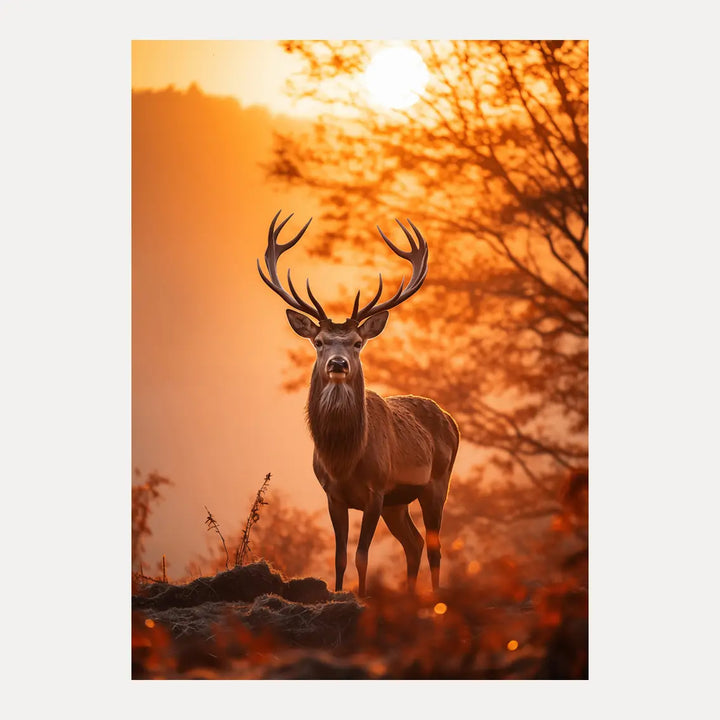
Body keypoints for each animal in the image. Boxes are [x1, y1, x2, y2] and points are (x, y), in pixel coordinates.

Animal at [257, 211, 460, 596]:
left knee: (435, 546)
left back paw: (436, 598)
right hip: (398, 503)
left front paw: (363, 597)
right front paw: (340, 594)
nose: (338, 364)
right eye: (319, 341)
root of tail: (451, 420)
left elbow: (362, 556)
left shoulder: (376, 490)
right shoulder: (333, 494)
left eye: (356, 342)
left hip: (436, 483)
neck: (345, 458)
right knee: (413, 543)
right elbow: (339, 557)